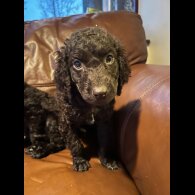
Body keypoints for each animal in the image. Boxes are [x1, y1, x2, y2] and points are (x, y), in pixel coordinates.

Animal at [54, 26, 130, 171]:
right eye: (77, 64)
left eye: (109, 58)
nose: (100, 93)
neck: (90, 107)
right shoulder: (66, 121)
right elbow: (74, 142)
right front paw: (79, 161)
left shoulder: (105, 119)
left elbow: (105, 139)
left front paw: (108, 159)